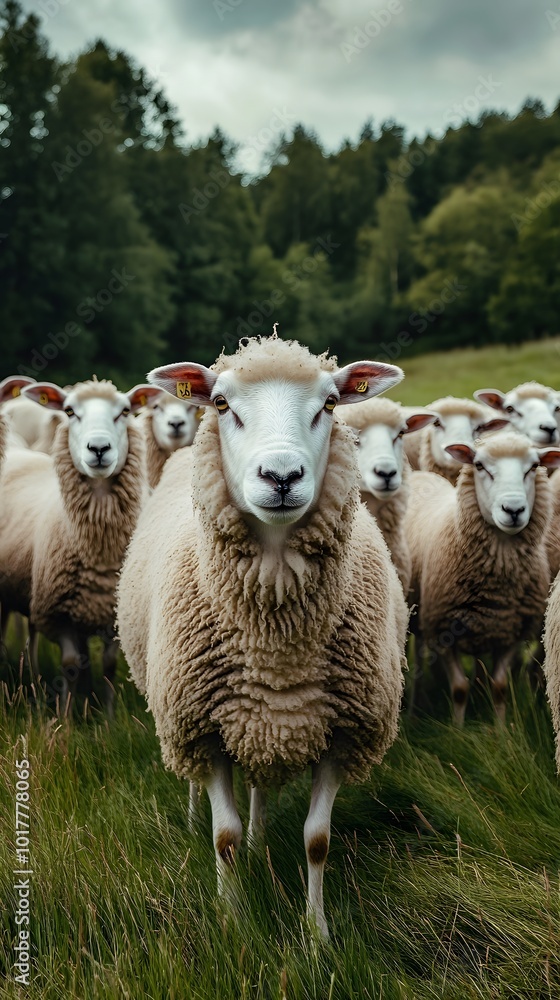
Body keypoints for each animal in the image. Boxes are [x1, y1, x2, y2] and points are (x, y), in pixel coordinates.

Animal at [0, 377, 161, 711]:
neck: (100, 552)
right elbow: (71, 664)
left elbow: (109, 665)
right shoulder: (57, 614)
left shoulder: (113, 614)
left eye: (124, 411)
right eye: (70, 411)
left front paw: (108, 715)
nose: (98, 448)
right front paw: (66, 715)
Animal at [117, 335, 409, 939]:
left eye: (329, 404)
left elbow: (317, 841)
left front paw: (317, 936)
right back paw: (195, 818)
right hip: (183, 717)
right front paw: (233, 923)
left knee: (258, 785)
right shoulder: (202, 728)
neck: (275, 640)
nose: (280, 476)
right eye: (221, 403)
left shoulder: (342, 733)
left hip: (257, 723)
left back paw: (259, 838)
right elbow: (222, 837)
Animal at [405, 431, 560, 725]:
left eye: (533, 466)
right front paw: (457, 729)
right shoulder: (442, 630)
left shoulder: (511, 632)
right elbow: (459, 688)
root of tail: (421, 475)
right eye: (479, 466)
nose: (513, 509)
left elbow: (499, 687)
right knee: (417, 655)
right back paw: (416, 704)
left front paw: (501, 730)